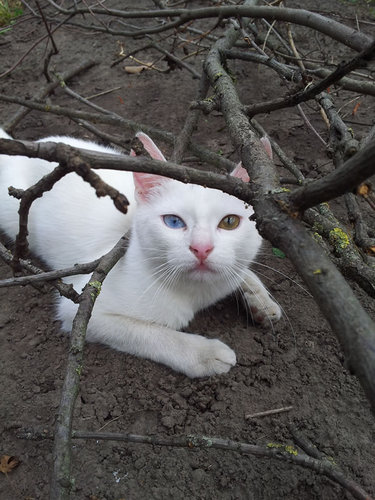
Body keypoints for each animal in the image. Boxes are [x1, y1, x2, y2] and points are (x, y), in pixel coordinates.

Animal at [0, 129, 282, 376]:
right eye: (173, 222)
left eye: (230, 222)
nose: (201, 248)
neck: (198, 292)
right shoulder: (84, 307)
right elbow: (151, 333)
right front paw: (205, 354)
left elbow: (242, 272)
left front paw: (261, 300)